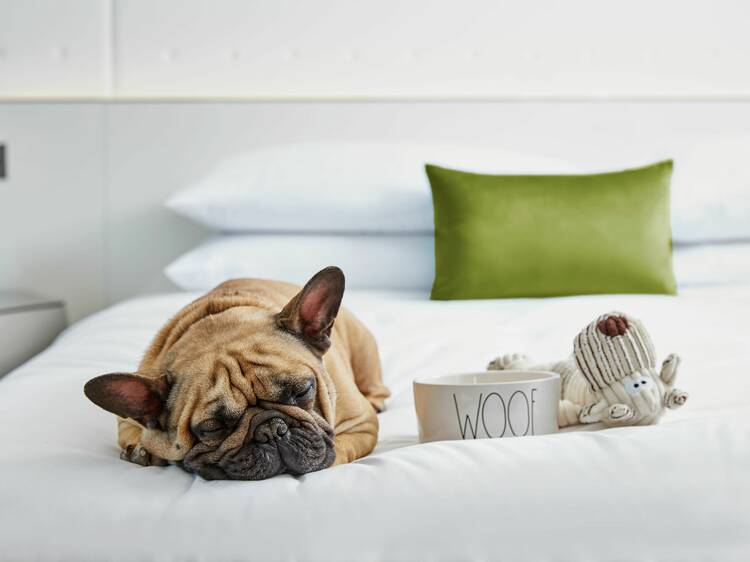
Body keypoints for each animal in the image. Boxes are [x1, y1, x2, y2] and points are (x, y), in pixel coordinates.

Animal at [83, 266, 390, 476]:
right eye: (212, 428)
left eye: (303, 390)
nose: (271, 430)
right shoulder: (129, 418)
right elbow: (135, 434)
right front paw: (143, 451)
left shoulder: (361, 424)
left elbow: (337, 452)